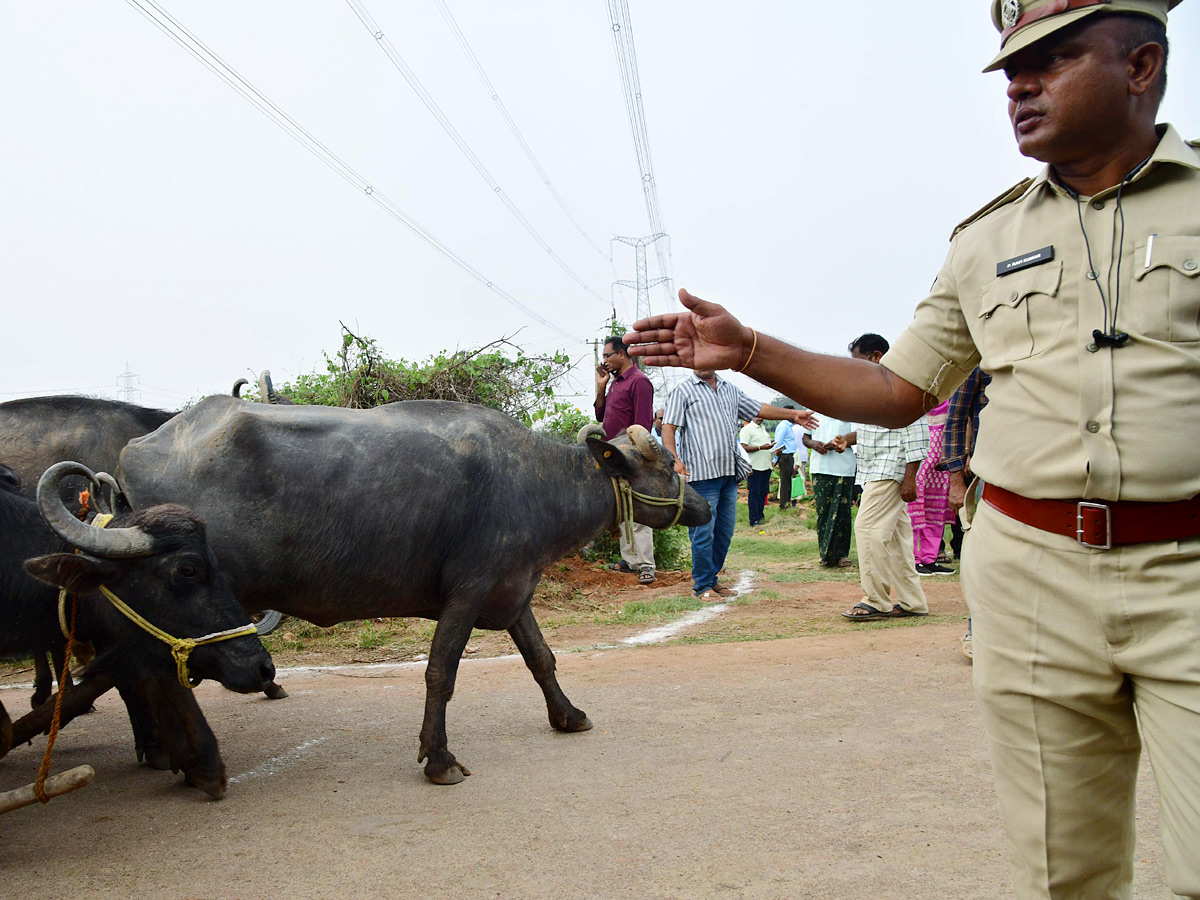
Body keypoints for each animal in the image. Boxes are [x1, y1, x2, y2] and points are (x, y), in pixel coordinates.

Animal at [119, 398, 710, 787]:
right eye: (663, 464)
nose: (703, 506)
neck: (536, 482)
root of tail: (136, 448)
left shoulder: (512, 591)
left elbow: (541, 658)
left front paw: (568, 715)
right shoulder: (468, 591)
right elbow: (440, 673)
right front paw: (439, 757)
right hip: (192, 598)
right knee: (162, 675)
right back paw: (200, 764)